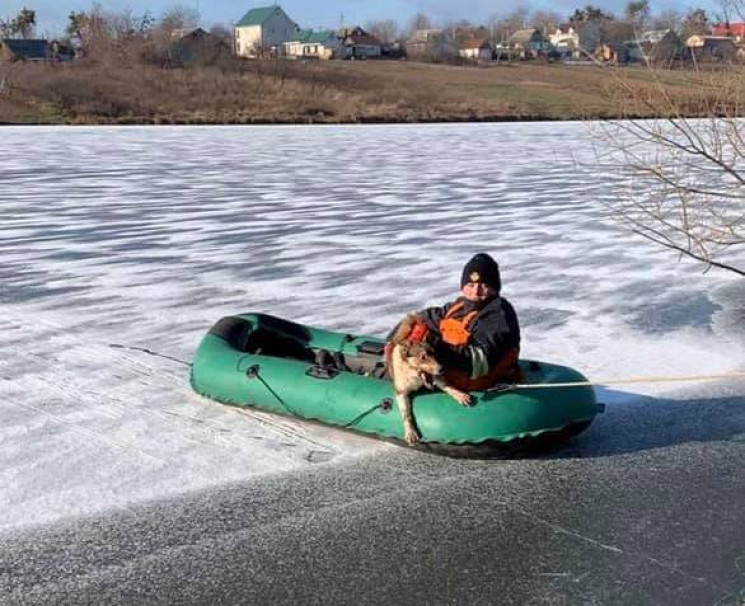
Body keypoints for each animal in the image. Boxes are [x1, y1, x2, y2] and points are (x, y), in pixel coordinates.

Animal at [386, 316, 468, 444]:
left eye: (434, 354)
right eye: (423, 357)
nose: (442, 369)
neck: (414, 374)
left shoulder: (435, 376)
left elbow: (448, 386)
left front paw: (460, 395)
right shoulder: (401, 392)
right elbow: (406, 414)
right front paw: (410, 432)